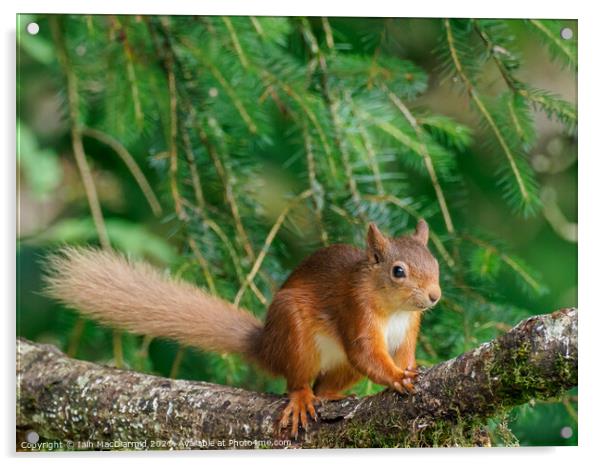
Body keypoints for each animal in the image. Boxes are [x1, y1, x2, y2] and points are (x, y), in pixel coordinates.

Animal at [45, 219, 440, 436]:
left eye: (435, 264)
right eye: (398, 271)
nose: (435, 296)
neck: (394, 310)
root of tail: (267, 346)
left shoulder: (409, 328)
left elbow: (403, 353)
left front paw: (411, 369)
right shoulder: (355, 310)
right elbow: (365, 351)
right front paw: (397, 378)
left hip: (338, 366)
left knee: (326, 384)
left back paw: (331, 396)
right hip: (295, 333)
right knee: (297, 381)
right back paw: (302, 399)